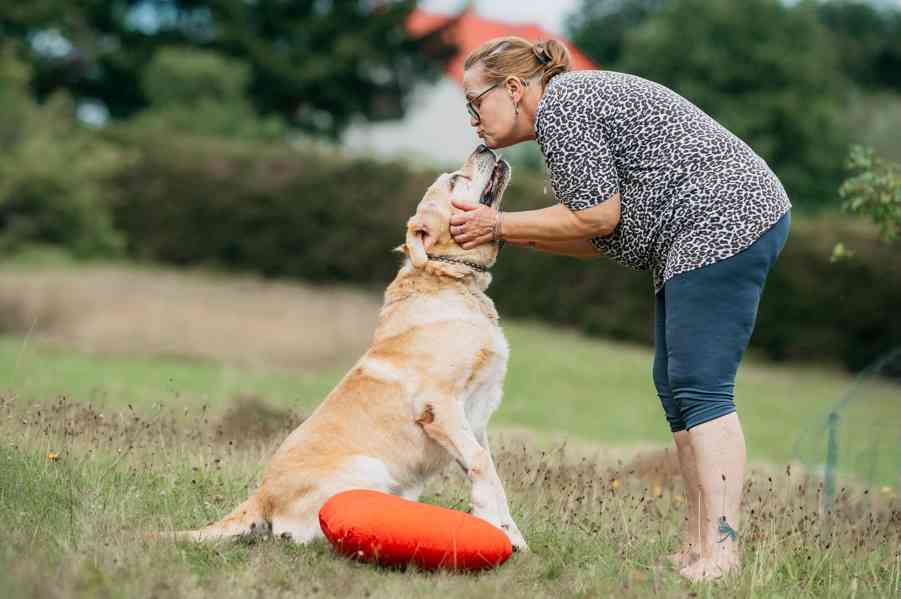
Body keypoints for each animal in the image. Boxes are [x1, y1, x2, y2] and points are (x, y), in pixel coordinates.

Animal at [163, 148, 528, 552]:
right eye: (453, 181)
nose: (484, 148)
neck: (453, 281)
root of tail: (262, 497)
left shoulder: (475, 417)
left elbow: (489, 471)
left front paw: (512, 536)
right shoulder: (440, 405)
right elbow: (481, 465)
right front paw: (499, 530)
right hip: (369, 468)